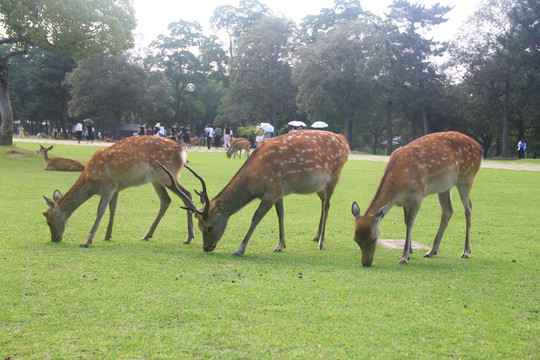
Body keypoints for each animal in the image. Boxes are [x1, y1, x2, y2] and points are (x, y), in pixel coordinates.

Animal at [42, 135, 196, 248]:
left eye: (48, 221)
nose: (54, 238)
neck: (90, 181)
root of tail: (182, 153)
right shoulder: (116, 188)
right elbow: (113, 208)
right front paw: (107, 235)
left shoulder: (108, 184)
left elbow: (100, 210)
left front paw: (87, 241)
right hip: (157, 180)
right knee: (168, 199)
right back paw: (148, 235)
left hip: (167, 175)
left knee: (186, 195)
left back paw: (188, 237)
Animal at [156, 129, 350, 256]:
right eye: (199, 226)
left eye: (209, 226)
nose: (206, 247)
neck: (255, 178)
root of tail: (344, 142)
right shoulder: (278, 190)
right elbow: (281, 214)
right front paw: (281, 245)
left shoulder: (271, 190)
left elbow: (256, 217)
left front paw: (239, 249)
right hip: (319, 186)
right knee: (322, 203)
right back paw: (316, 236)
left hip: (334, 176)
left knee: (327, 205)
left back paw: (321, 243)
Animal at [352, 132, 484, 268]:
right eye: (355, 239)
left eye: (374, 238)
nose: (366, 263)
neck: (396, 191)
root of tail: (479, 147)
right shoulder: (405, 201)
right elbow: (405, 221)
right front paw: (410, 251)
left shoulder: (418, 194)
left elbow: (410, 223)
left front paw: (404, 257)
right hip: (444, 186)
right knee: (448, 211)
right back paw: (431, 251)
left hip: (467, 177)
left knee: (468, 209)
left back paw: (466, 251)